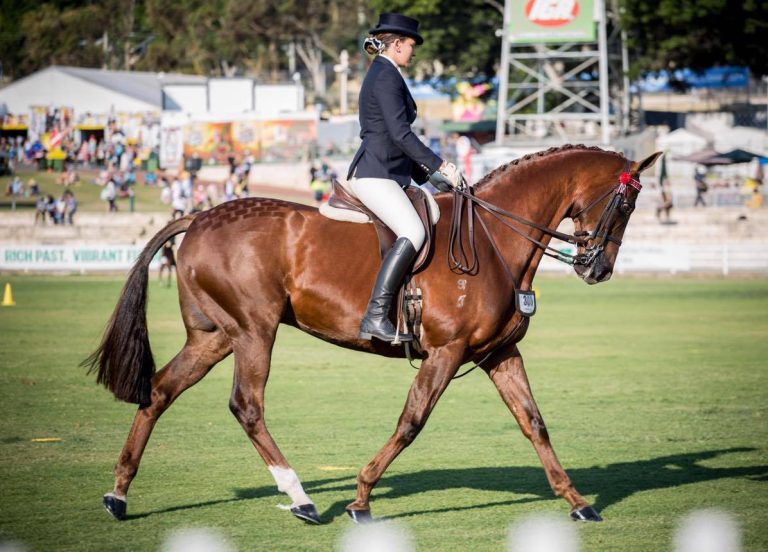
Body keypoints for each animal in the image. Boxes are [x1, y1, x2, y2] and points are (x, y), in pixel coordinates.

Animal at [86, 144, 661, 524]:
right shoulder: (446, 352)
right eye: (626, 205)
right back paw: (301, 498)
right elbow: (412, 421)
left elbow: (534, 423)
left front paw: (578, 502)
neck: (494, 238)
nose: (597, 269)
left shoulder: (499, 352)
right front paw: (361, 498)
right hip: (254, 332)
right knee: (246, 406)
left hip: (214, 337)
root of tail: (201, 217)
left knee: (159, 391)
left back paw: (119, 494)